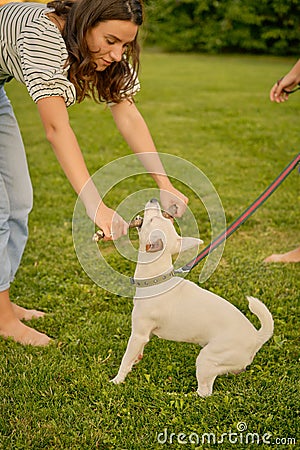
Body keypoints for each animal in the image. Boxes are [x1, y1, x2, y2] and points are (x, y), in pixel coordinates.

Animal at [110, 199, 274, 396]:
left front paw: (117, 380)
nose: (154, 200)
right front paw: (137, 359)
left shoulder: (138, 334)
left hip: (206, 359)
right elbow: (136, 353)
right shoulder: (144, 335)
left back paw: (175, 395)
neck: (157, 279)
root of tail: (256, 338)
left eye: (152, 219)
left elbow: (125, 359)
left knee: (204, 393)